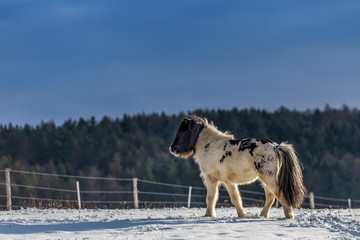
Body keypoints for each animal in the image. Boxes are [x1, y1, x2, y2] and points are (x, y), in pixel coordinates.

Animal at [169, 115, 306, 218]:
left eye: (183, 131)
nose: (172, 148)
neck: (209, 145)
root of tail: (276, 147)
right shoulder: (228, 182)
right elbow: (235, 199)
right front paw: (241, 215)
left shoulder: (213, 180)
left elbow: (212, 198)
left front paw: (208, 215)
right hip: (266, 180)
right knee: (271, 197)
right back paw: (263, 215)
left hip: (269, 179)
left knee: (279, 195)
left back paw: (289, 215)